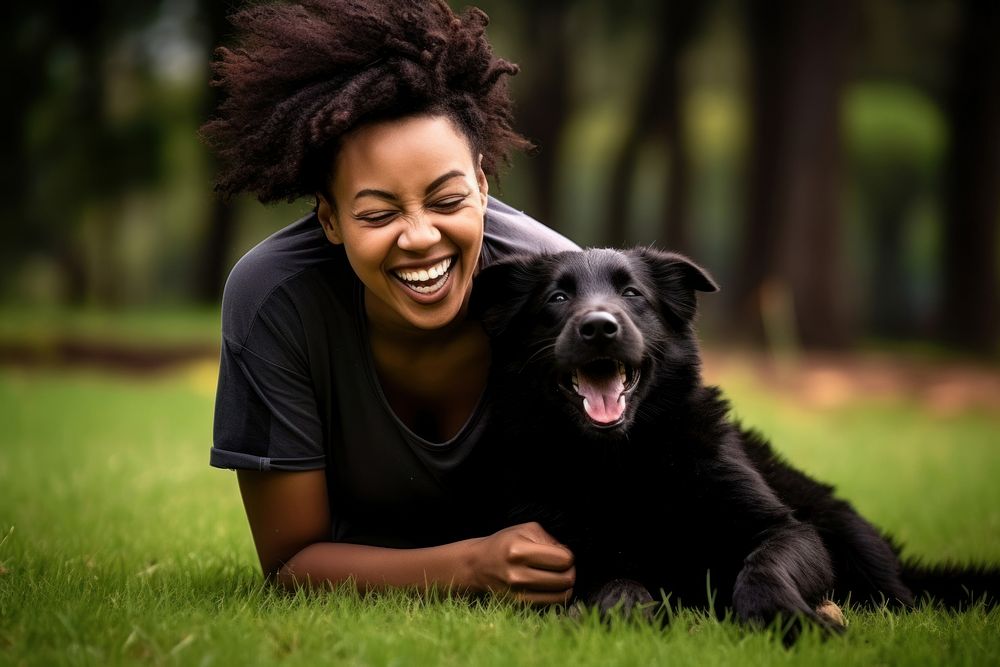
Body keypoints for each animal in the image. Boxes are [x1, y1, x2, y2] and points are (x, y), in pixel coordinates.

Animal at [470, 249, 1000, 632]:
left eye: (632, 293)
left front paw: (787, 621)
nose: (599, 327)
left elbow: (763, 568)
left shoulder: (787, 531)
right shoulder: (573, 560)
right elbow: (617, 588)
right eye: (557, 298)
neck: (626, 459)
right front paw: (627, 617)